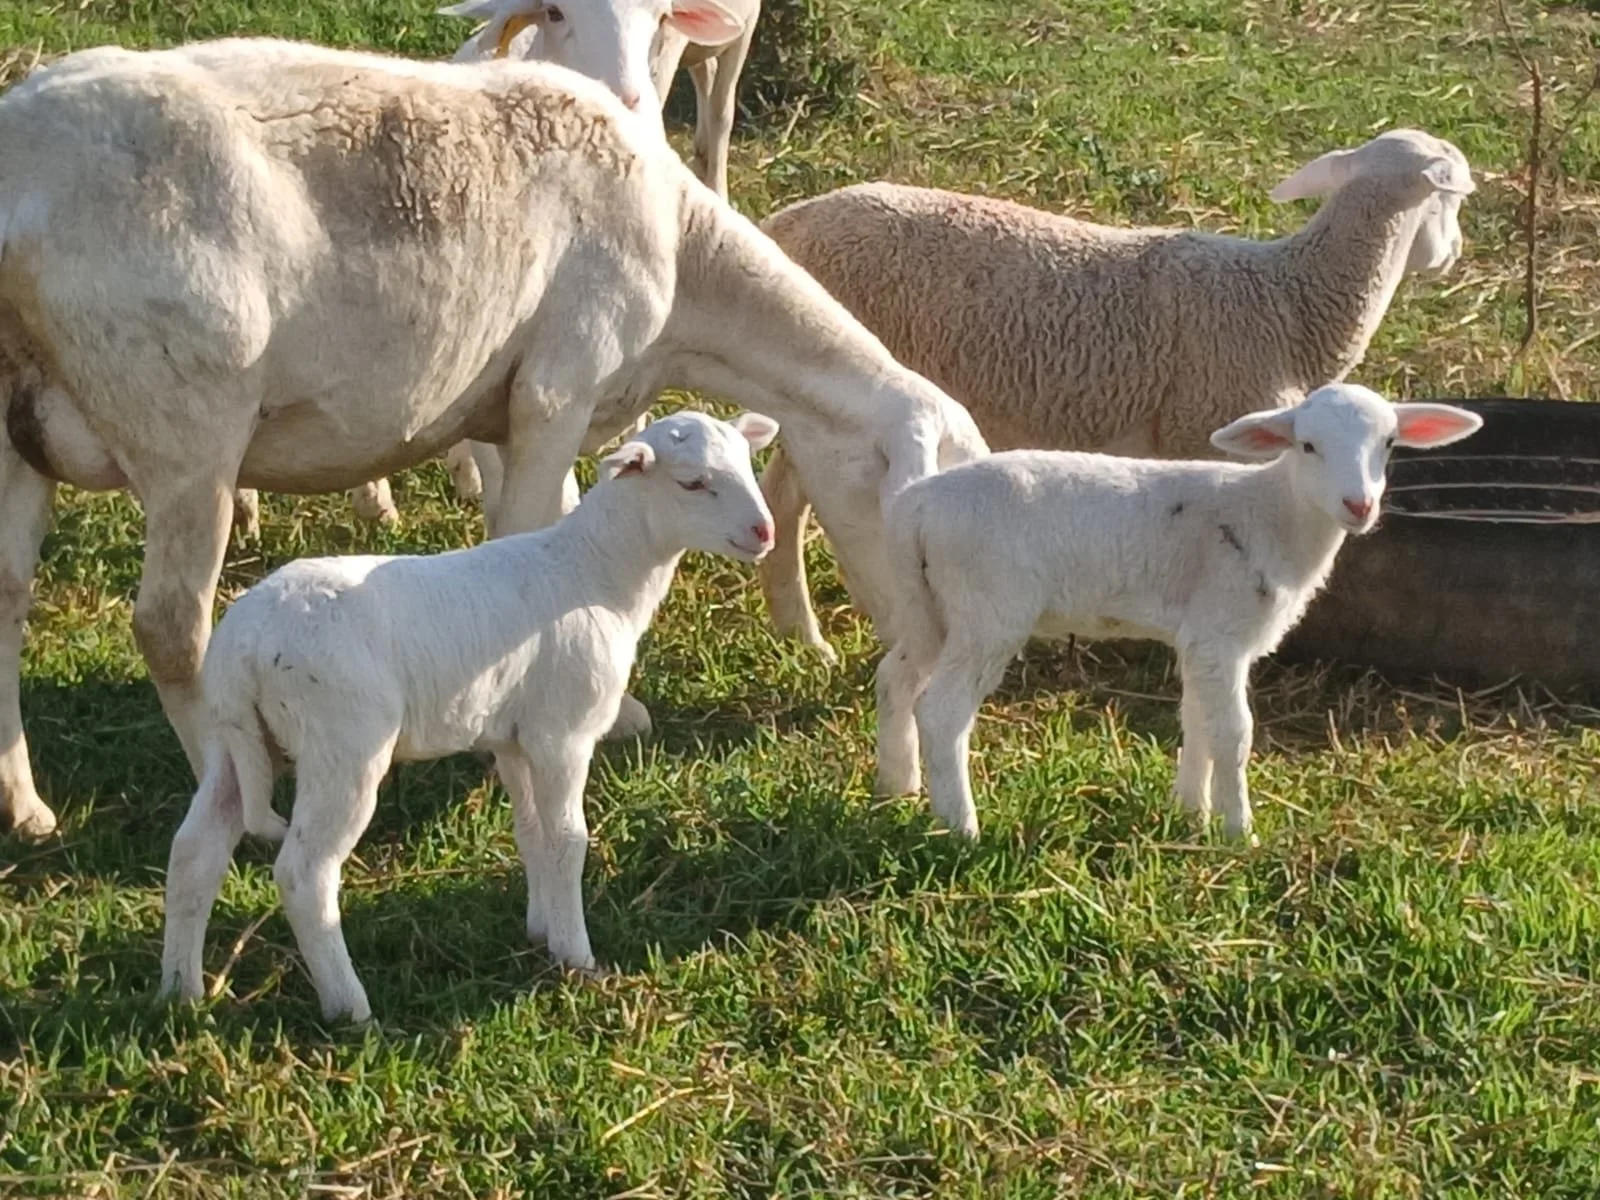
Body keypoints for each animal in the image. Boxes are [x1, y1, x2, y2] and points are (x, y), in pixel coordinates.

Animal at [0, 38, 987, 841]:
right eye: (918, 535)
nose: (937, 651)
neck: (686, 268)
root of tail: (19, 189)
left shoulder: (525, 414)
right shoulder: (561, 385)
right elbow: (527, 534)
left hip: (17, 438)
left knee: (9, 599)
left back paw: (26, 807)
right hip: (185, 427)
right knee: (170, 627)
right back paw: (238, 805)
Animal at [159, 411, 778, 1021]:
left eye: (749, 465)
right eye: (692, 483)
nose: (764, 533)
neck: (599, 571)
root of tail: (244, 648)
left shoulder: (513, 736)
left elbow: (530, 831)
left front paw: (541, 930)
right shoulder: (562, 733)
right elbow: (567, 838)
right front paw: (577, 957)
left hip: (236, 740)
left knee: (193, 851)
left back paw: (180, 992)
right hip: (342, 742)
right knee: (303, 873)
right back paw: (350, 1007)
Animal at [753, 129, 1476, 663]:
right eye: (1451, 201)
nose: (1453, 253)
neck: (1292, 303)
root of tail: (788, 221)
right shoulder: (1206, 430)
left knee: (785, 494)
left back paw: (796, 630)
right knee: (796, 497)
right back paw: (812, 630)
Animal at [873, 383, 1483, 843]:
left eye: (1390, 443)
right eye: (1307, 445)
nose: (1360, 506)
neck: (1272, 512)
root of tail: (918, 504)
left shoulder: (1199, 639)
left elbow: (1197, 720)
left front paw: (1190, 812)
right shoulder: (1221, 631)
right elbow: (1234, 733)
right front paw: (1239, 833)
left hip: (928, 602)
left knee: (895, 677)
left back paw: (897, 786)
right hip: (989, 607)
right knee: (943, 711)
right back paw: (961, 828)